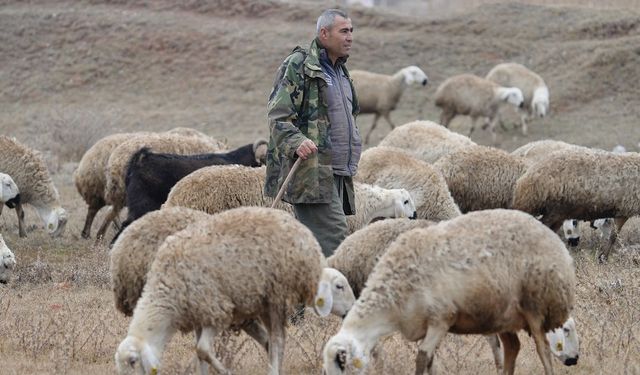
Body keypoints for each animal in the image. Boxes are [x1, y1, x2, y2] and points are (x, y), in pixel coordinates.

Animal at [115, 207, 356, 375]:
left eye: (133, 362)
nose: (352, 308)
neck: (168, 293)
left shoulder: (216, 308)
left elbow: (203, 349)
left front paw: (226, 371)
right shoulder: (198, 314)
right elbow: (199, 353)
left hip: (277, 296)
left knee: (277, 341)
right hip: (263, 302)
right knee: (274, 342)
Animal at [322, 209, 576, 375]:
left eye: (340, 364)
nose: (574, 360)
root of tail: (549, 234)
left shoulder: (441, 318)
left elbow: (422, 358)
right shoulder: (425, 325)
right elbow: (429, 360)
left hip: (536, 305)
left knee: (543, 350)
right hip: (504, 315)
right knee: (512, 347)